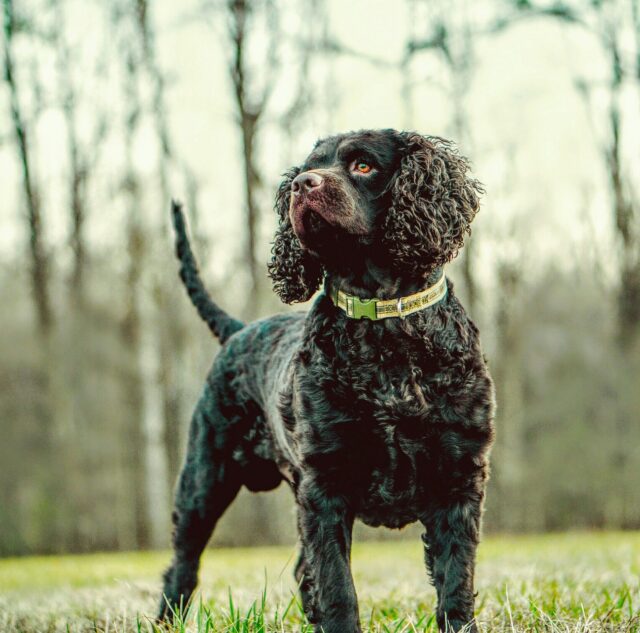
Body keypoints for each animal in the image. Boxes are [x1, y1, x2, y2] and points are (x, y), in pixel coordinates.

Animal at [159, 130, 496, 632]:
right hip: (204, 478)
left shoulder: (459, 479)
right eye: (306, 167)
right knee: (183, 565)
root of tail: (238, 329)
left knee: (301, 569)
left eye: (362, 165)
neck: (384, 333)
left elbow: (455, 586)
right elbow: (337, 586)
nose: (303, 185)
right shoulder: (326, 485)